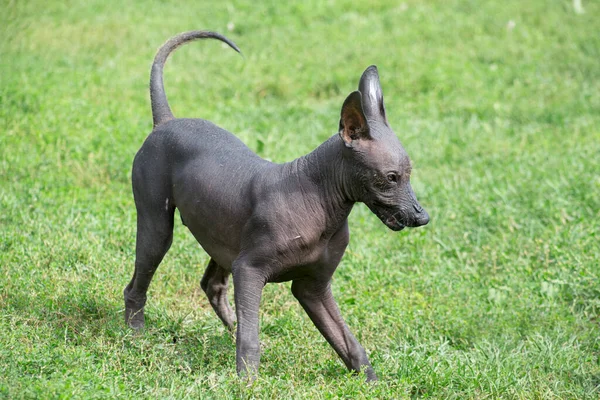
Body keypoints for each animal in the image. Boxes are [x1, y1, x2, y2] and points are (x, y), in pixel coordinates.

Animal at [124, 31, 428, 382]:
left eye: (409, 174)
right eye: (390, 178)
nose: (422, 216)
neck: (320, 203)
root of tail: (166, 122)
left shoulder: (312, 287)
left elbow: (348, 341)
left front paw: (372, 383)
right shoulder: (250, 270)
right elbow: (251, 339)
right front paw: (247, 383)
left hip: (224, 240)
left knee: (213, 285)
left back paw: (229, 328)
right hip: (158, 228)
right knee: (136, 285)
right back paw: (134, 335)